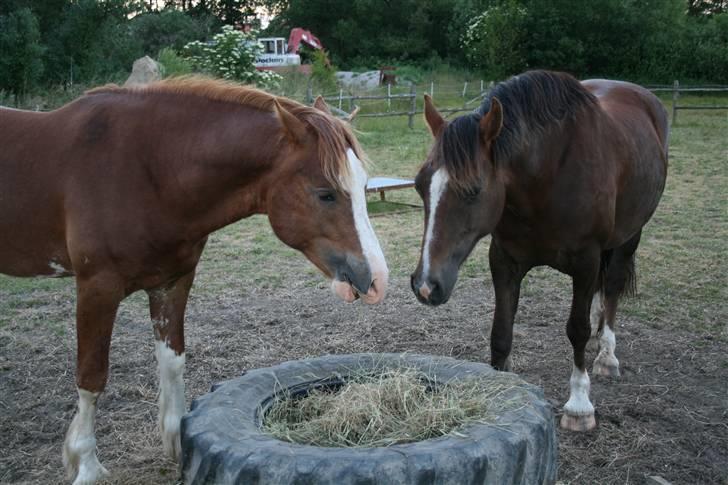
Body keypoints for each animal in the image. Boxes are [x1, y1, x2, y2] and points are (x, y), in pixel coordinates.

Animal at [0, 77, 390, 482]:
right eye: (325, 194)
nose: (376, 279)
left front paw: (179, 446)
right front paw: (86, 464)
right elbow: (92, 377)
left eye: (363, 187)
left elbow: (172, 362)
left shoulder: (173, 281)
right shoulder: (97, 287)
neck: (145, 170)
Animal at [410, 69, 664, 432]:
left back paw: (607, 355)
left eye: (473, 190)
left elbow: (577, 330)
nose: (426, 285)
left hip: (629, 236)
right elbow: (501, 333)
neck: (547, 175)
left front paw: (579, 405)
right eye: (419, 185)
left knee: (612, 287)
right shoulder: (504, 260)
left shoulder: (586, 262)